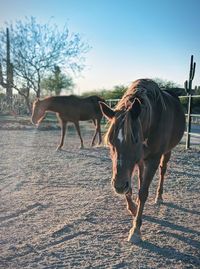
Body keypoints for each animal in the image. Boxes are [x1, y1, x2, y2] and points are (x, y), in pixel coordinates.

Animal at [99, 78, 185, 243]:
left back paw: (159, 197)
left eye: (135, 139)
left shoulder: (152, 159)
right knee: (140, 177)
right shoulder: (133, 163)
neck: (152, 120)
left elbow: (143, 192)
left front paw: (136, 229)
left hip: (166, 152)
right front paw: (133, 209)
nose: (118, 186)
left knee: (163, 170)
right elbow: (132, 187)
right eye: (110, 141)